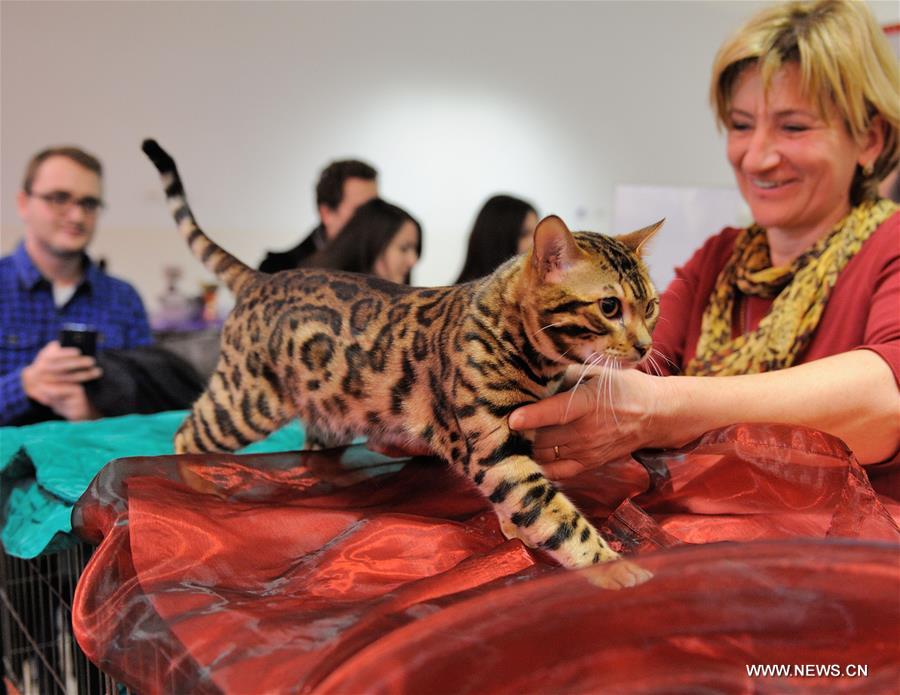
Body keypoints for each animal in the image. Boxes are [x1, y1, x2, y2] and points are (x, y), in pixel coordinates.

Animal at [141, 140, 660, 580]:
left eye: (651, 306)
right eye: (609, 307)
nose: (645, 347)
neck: (530, 352)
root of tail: (259, 278)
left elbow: (531, 509)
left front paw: (518, 534)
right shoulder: (494, 449)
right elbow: (555, 515)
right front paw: (613, 567)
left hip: (323, 413)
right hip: (246, 400)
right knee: (186, 434)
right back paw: (192, 490)